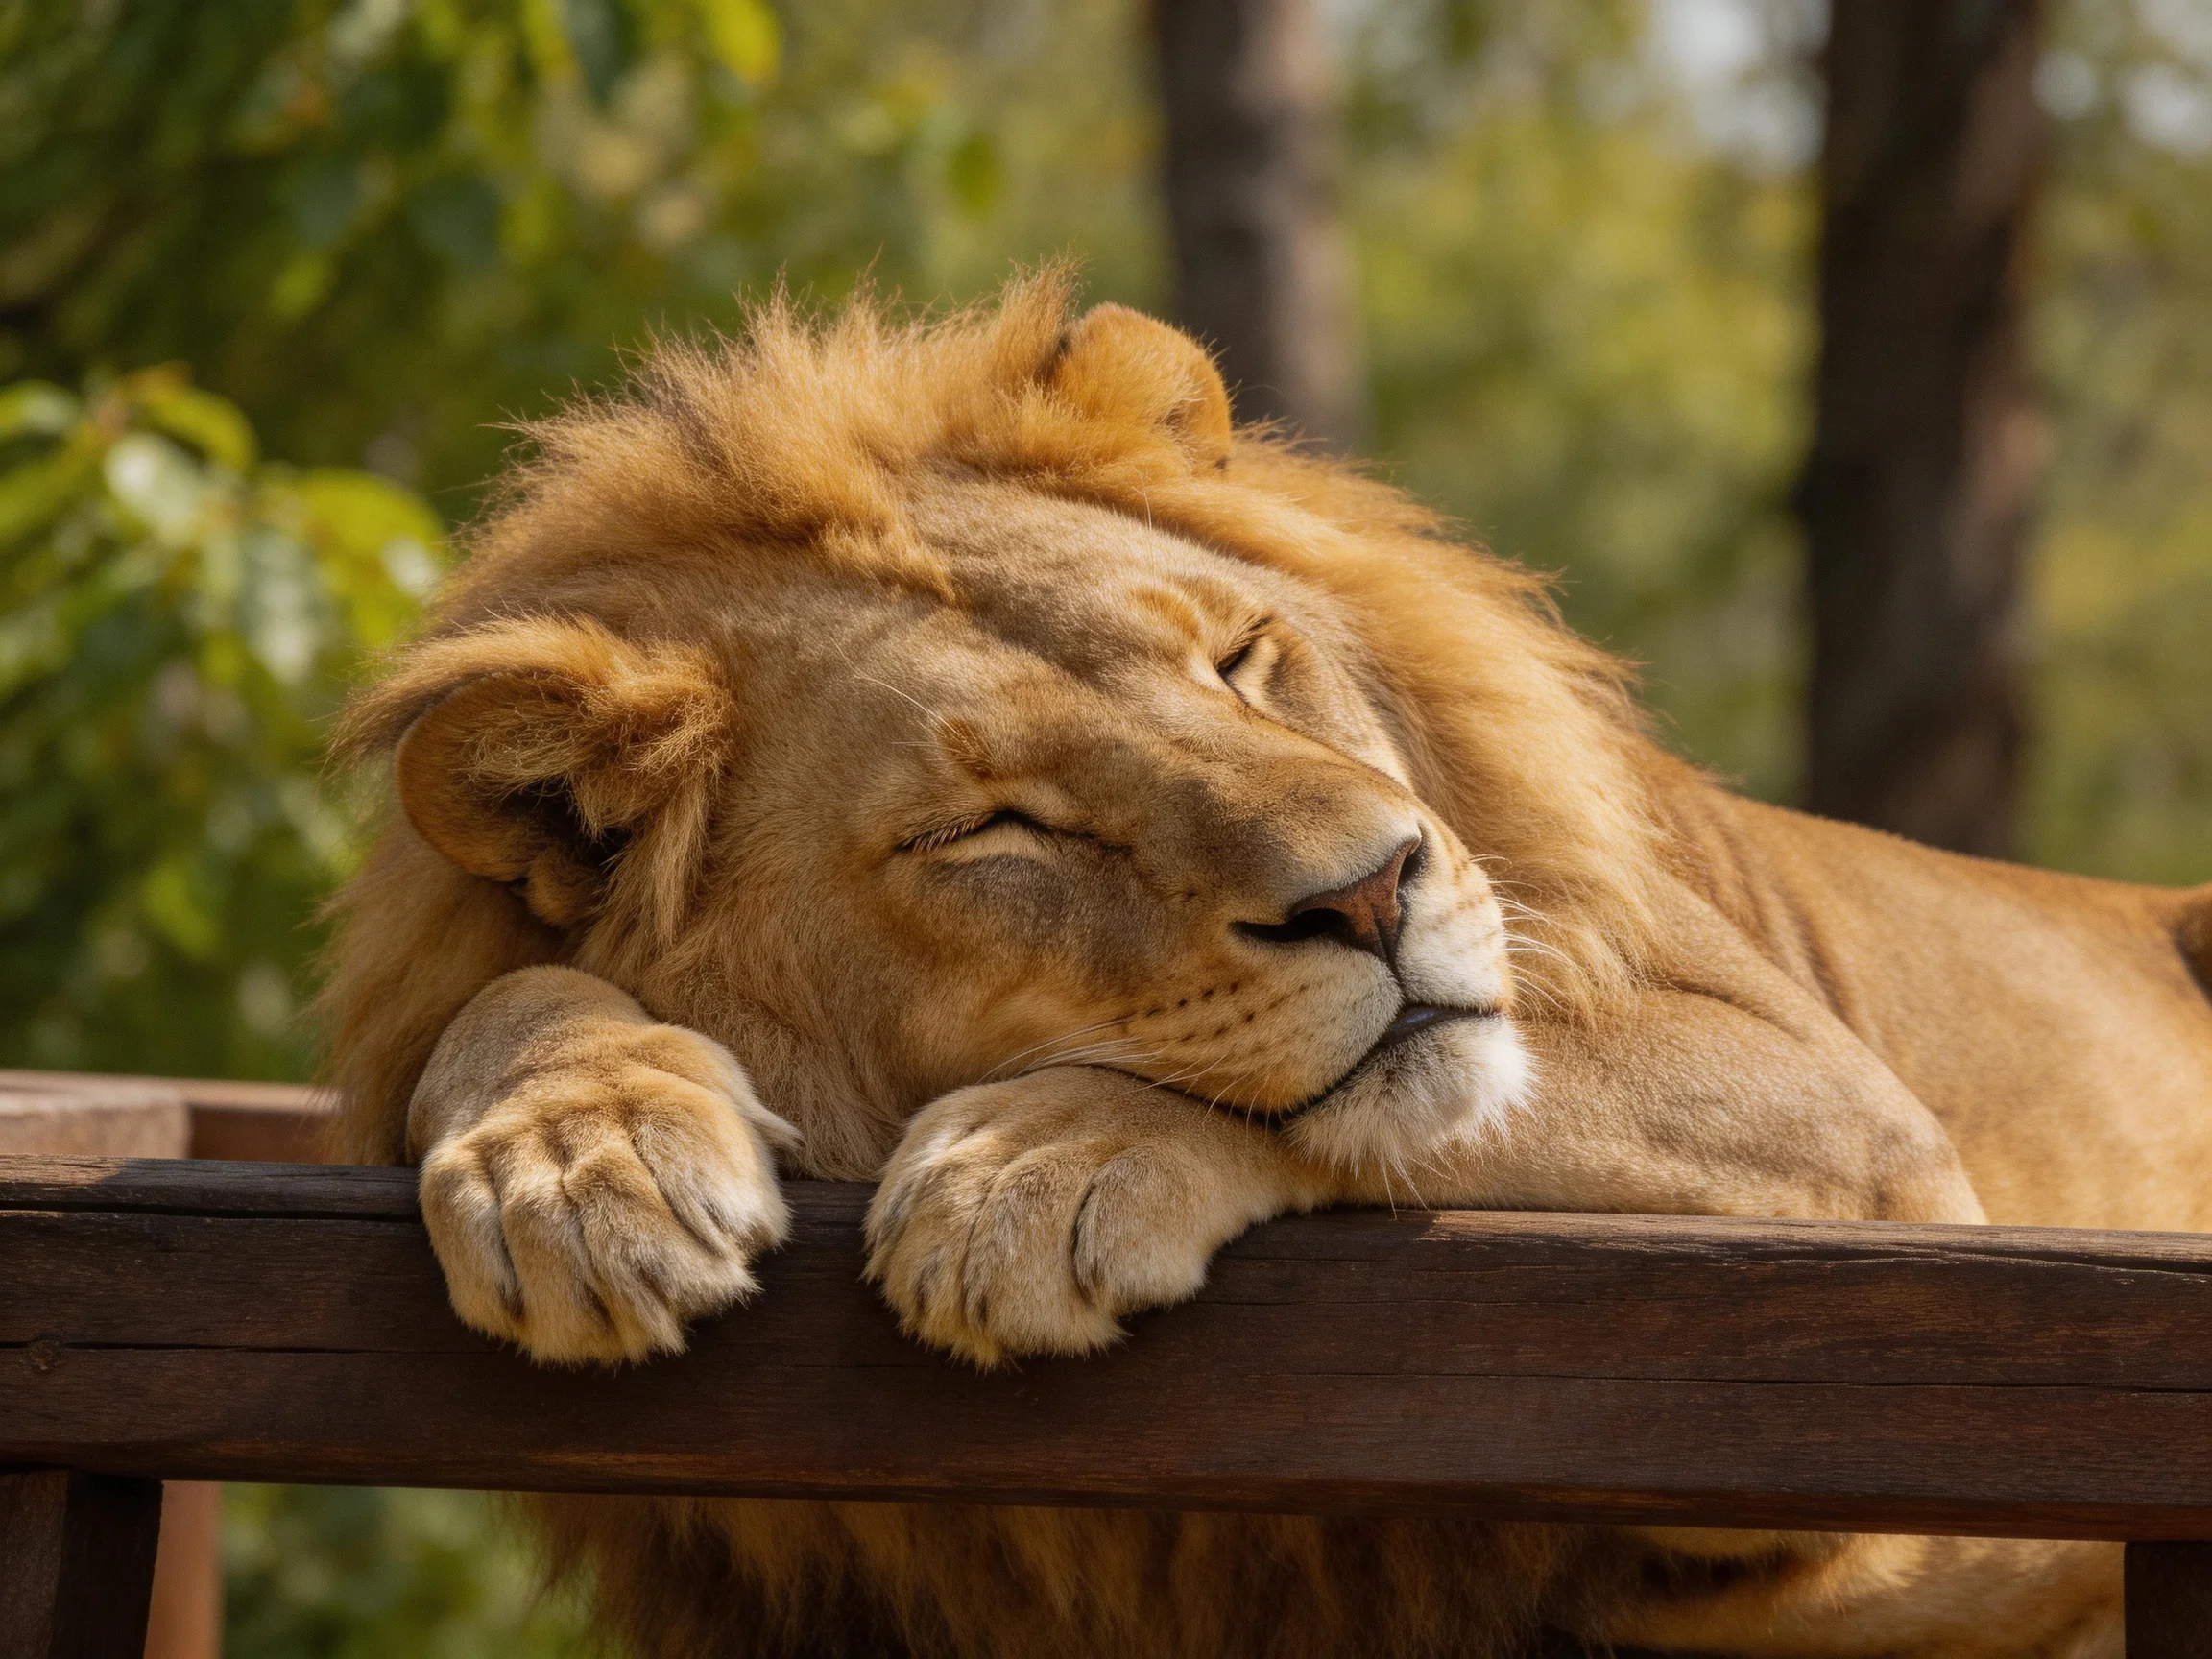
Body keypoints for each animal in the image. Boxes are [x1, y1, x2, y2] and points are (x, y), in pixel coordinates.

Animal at [319, 272, 2212, 1659]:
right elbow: (504, 994)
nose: (1375, 889)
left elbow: (1400, 1108)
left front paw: (1040, 1169)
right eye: (996, 826)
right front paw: (577, 1168)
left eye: (1238, 658)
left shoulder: (1848, 1132)